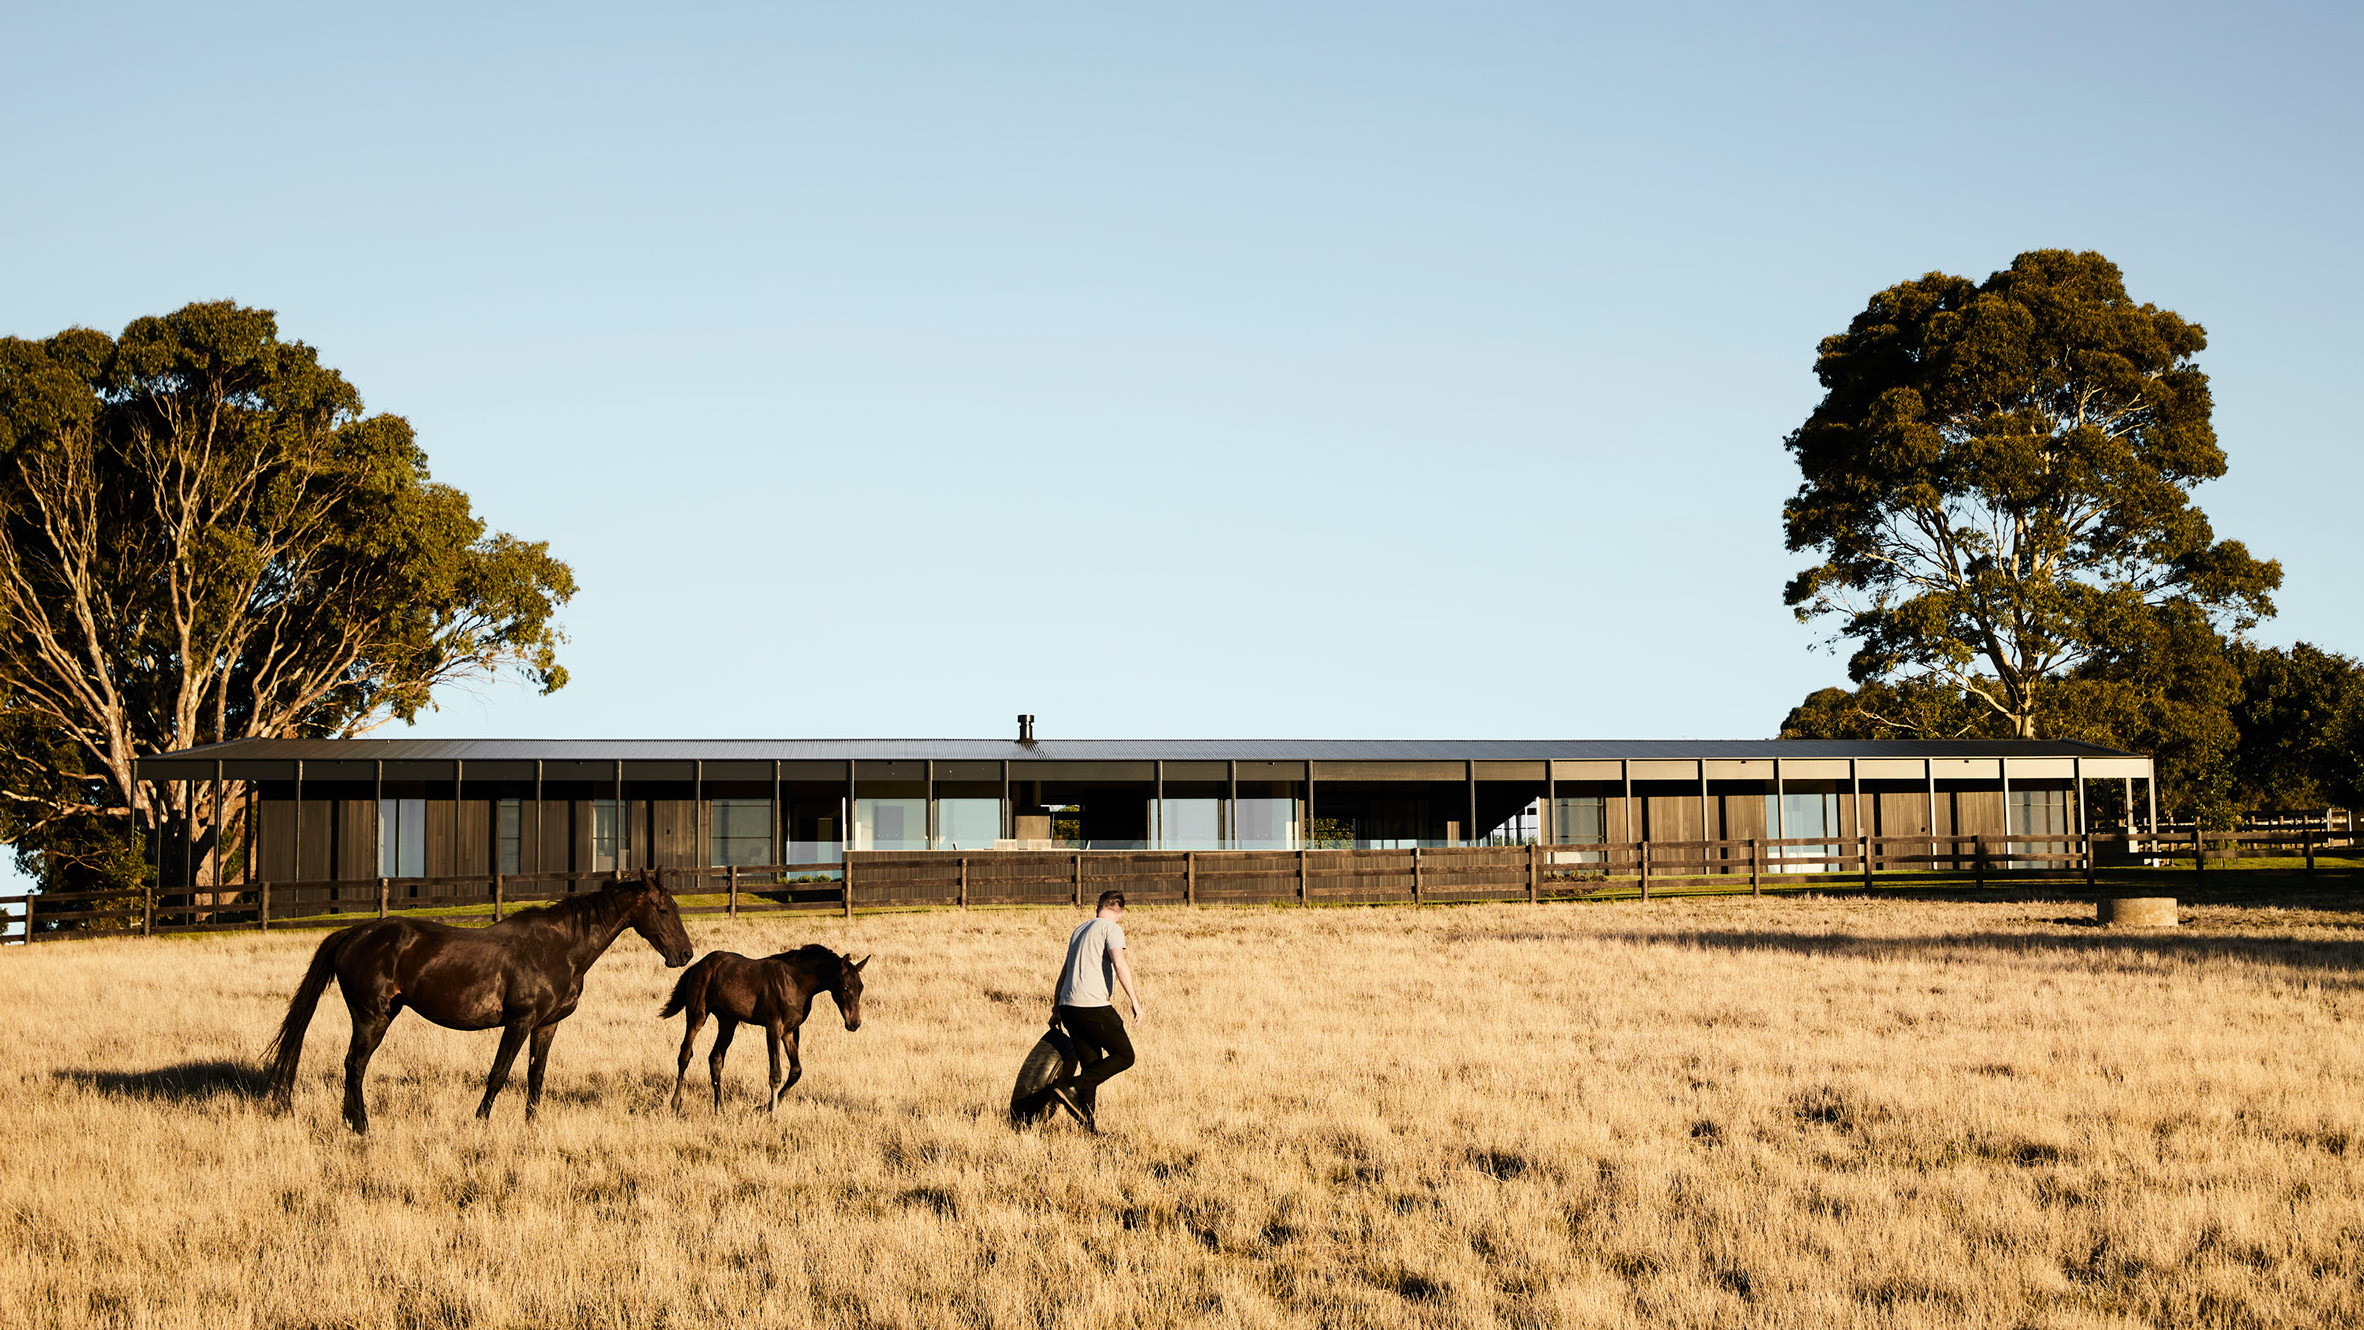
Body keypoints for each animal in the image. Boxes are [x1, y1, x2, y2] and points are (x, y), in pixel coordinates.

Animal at [270, 874, 690, 1133]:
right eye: (662, 909)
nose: (684, 954)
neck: (558, 948)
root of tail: (353, 933)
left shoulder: (546, 1025)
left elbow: (536, 1076)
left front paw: (531, 1125)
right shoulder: (518, 1022)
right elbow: (499, 1073)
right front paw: (480, 1122)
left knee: (352, 1066)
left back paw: (350, 1123)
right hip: (372, 1017)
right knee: (355, 1066)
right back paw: (361, 1126)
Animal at [666, 944, 869, 1115]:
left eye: (861, 988)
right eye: (845, 987)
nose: (854, 1023)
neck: (795, 982)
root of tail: (698, 965)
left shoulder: (790, 1031)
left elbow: (796, 1071)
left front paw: (764, 1107)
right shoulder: (773, 1027)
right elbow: (775, 1074)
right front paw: (773, 1114)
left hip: (728, 1021)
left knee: (715, 1058)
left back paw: (720, 1109)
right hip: (697, 1015)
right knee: (685, 1054)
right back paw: (675, 1104)